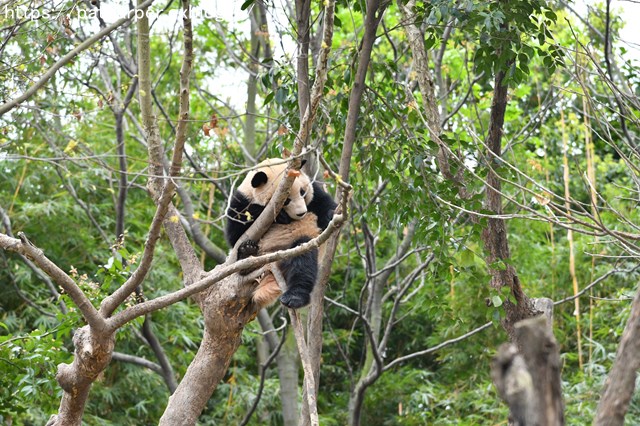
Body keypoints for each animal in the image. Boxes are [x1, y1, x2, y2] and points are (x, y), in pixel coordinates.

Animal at [224, 158, 336, 308]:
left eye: (302, 192)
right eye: (286, 200)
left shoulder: (315, 192)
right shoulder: (242, 200)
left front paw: (331, 216)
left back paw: (294, 297)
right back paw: (247, 253)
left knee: (303, 260)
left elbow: (325, 205)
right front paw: (279, 216)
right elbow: (235, 234)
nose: (302, 213)